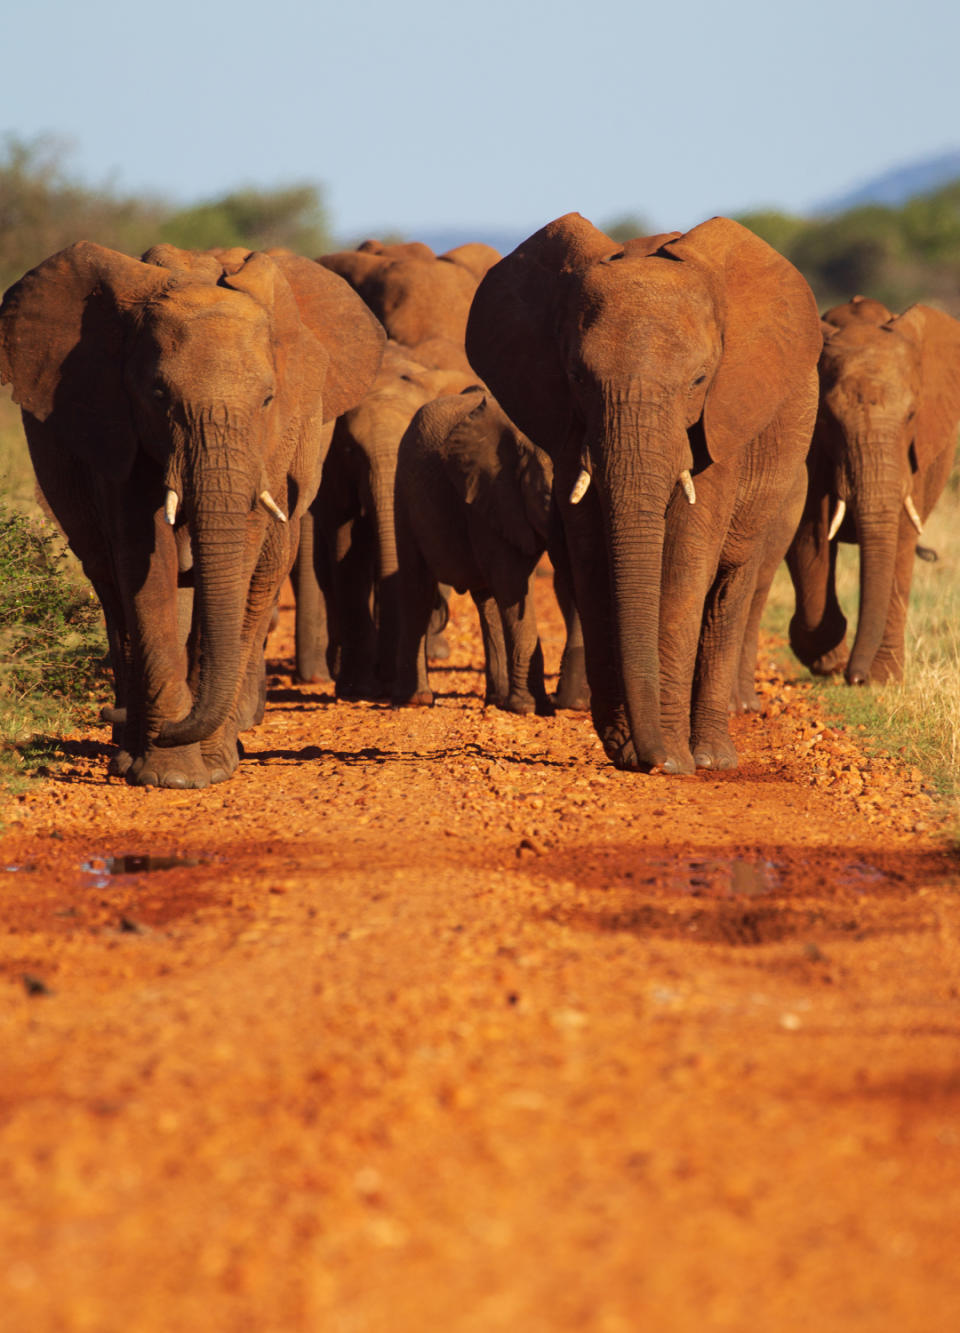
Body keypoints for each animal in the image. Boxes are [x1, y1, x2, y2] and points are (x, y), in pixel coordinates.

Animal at [0, 239, 381, 783]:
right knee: (111, 584)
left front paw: (210, 767)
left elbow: (238, 558)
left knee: (262, 577)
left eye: (268, 400)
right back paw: (129, 750)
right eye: (159, 396)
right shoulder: (115, 423)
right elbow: (144, 560)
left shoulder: (268, 447)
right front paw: (167, 774)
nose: (112, 714)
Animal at [298, 341, 474, 698]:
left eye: (414, 445)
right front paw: (359, 688)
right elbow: (348, 547)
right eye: (351, 450)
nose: (388, 676)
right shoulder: (334, 467)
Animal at [392, 386, 589, 719]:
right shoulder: (489, 493)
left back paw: (496, 700)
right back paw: (417, 699)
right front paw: (530, 708)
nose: (570, 703)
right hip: (403, 491)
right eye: (550, 494)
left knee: (486, 600)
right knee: (417, 586)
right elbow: (512, 583)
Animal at [464, 207, 816, 773]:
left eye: (699, 380)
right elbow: (589, 557)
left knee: (731, 584)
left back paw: (712, 757)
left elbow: (685, 563)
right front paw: (630, 749)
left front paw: (670, 759)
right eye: (577, 377)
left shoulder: (719, 424)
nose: (649, 757)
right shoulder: (568, 427)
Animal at [784, 293, 960, 687]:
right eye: (827, 419)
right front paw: (828, 661)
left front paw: (882, 680)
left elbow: (901, 536)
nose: (855, 678)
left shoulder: (917, 453)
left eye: (911, 415)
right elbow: (810, 533)